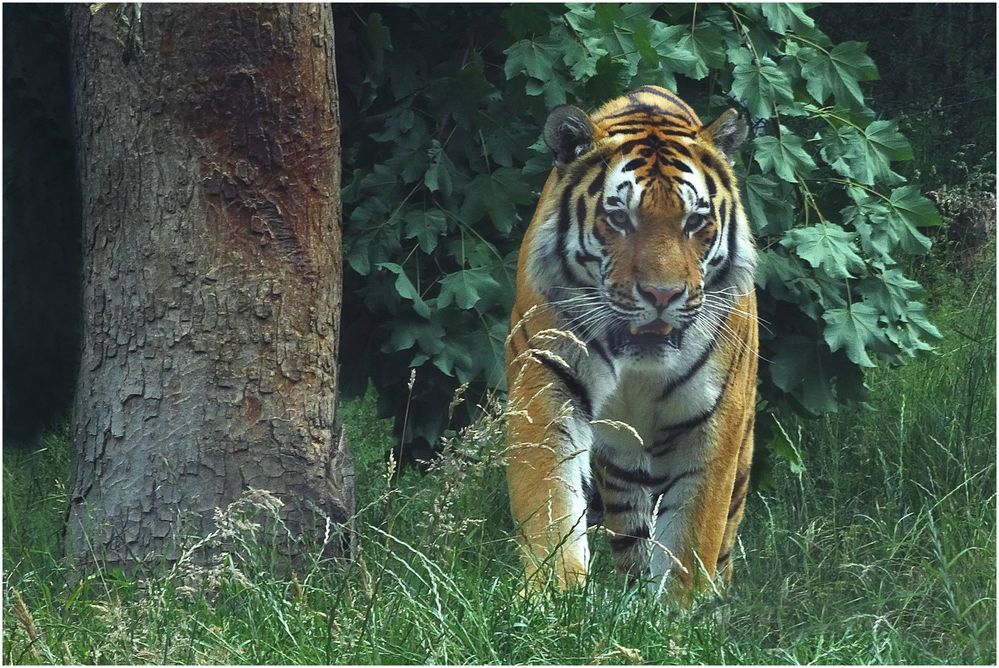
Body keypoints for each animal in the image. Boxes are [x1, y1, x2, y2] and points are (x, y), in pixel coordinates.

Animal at [508, 86, 756, 596]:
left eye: (695, 221)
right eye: (619, 218)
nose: (662, 295)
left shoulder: (717, 420)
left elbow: (691, 541)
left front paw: (679, 613)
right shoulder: (546, 383)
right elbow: (549, 504)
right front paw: (554, 597)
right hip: (622, 464)